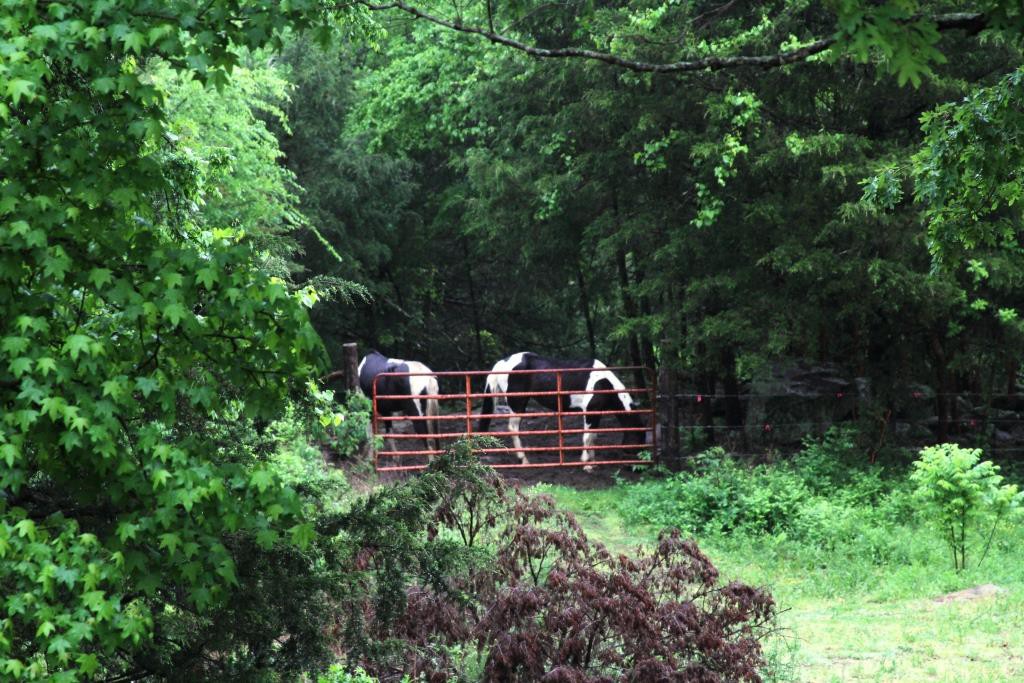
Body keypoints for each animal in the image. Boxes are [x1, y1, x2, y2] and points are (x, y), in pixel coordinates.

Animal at [475, 352, 643, 471]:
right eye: (637, 436)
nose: (635, 467)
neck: (602, 384)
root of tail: (502, 363)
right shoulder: (589, 411)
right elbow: (587, 437)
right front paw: (586, 464)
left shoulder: (596, 413)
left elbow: (593, 437)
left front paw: (593, 462)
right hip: (518, 404)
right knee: (513, 428)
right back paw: (524, 460)